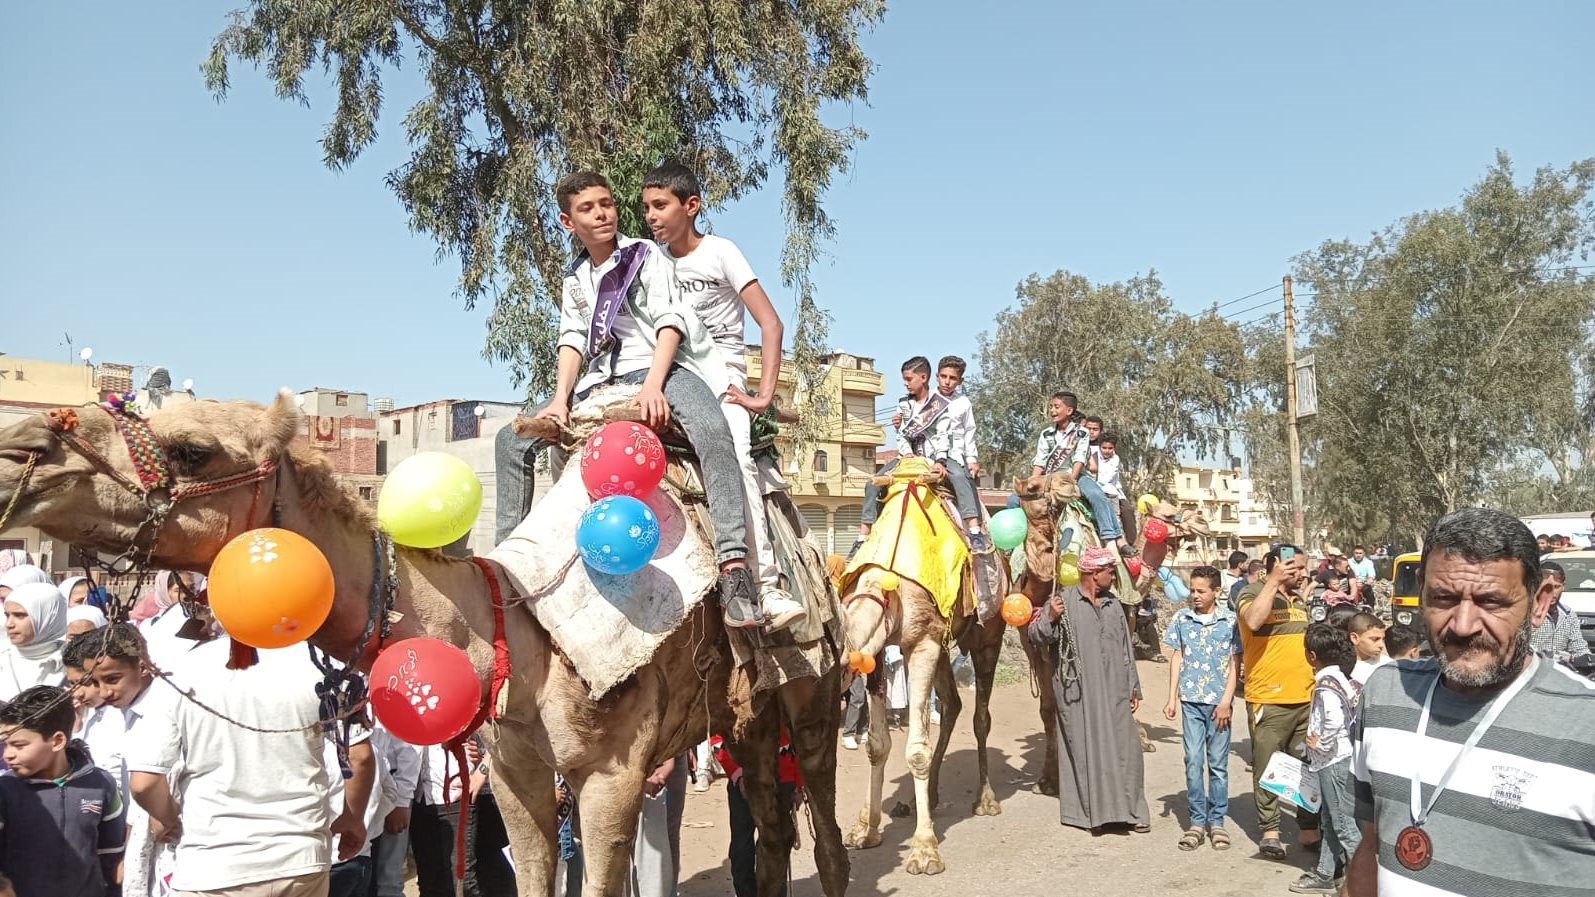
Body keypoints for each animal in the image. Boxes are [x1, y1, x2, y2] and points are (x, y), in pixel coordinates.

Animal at [0, 394, 848, 893]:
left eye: (192, 449)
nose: (22, 448)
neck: (516, 634)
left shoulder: (614, 771)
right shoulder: (514, 768)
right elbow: (534, 874)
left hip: (814, 693)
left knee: (828, 838)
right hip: (745, 715)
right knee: (774, 831)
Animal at [829, 456, 1001, 874]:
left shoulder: (922, 644)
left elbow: (916, 751)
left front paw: (924, 850)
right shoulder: (878, 653)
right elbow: (877, 745)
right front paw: (868, 831)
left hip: (987, 636)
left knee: (980, 716)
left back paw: (986, 799)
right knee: (952, 705)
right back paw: (931, 796)